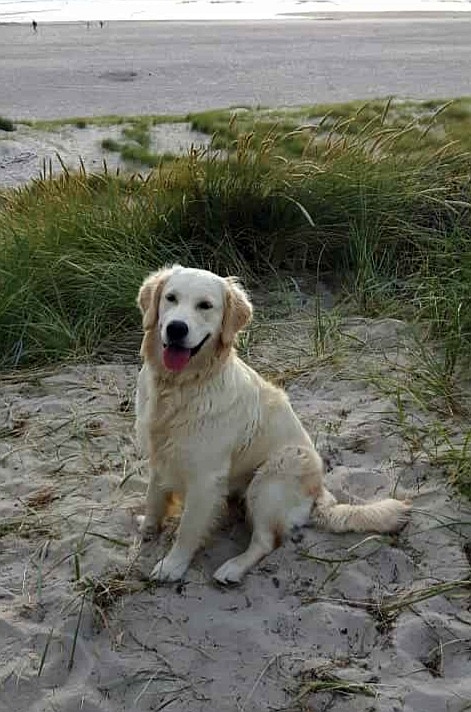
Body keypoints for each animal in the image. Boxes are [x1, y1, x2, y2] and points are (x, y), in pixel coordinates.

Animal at [135, 265, 410, 584]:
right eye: (171, 298)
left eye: (205, 306)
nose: (176, 328)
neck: (180, 386)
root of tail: (320, 494)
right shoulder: (160, 453)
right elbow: (154, 496)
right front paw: (148, 528)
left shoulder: (205, 477)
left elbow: (189, 528)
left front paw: (173, 565)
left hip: (273, 476)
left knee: (265, 541)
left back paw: (233, 568)